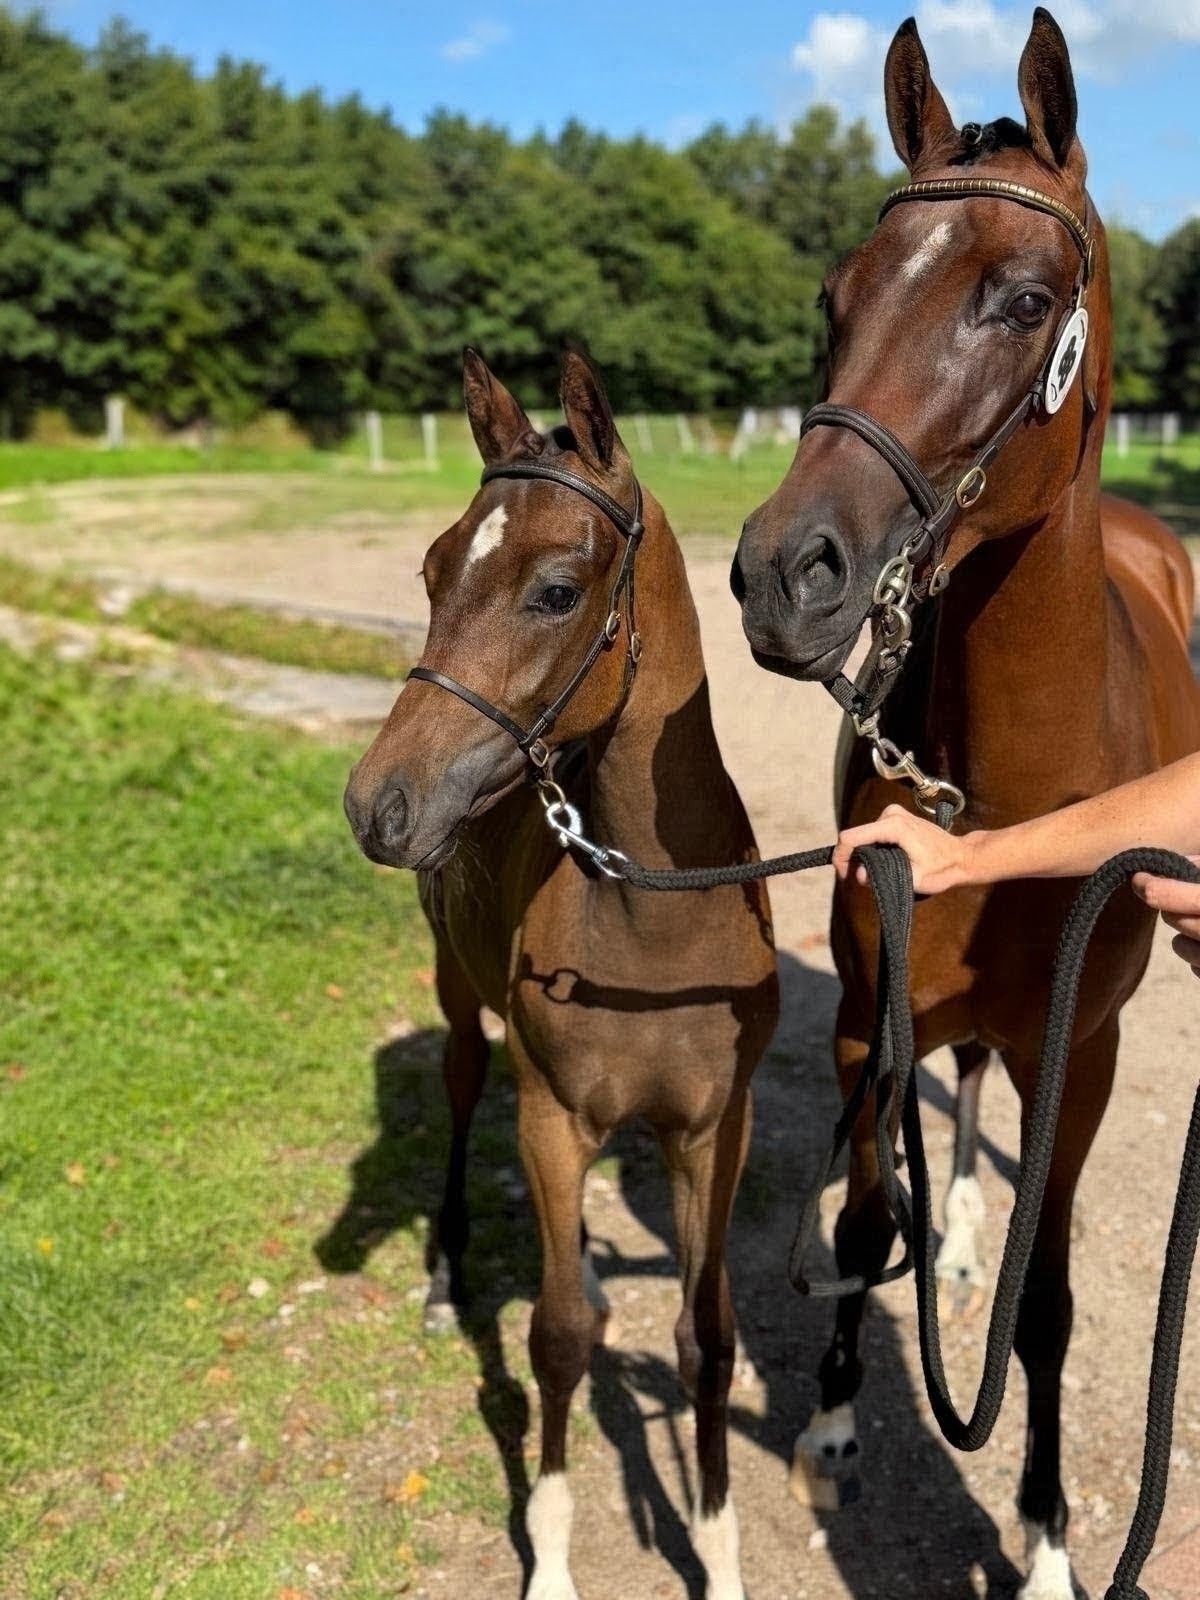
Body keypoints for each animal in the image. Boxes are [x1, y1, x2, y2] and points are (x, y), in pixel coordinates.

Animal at [343, 346, 779, 1600]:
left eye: (554, 590)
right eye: (434, 569)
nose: (378, 804)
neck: (653, 926)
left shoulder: (711, 1130)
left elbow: (705, 1337)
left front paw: (718, 1550)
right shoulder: (548, 1116)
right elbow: (555, 1339)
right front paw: (547, 1556)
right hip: (457, 1000)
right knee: (456, 1090)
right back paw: (445, 1274)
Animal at [730, 11, 1200, 1597]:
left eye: (1025, 296)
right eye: (836, 295)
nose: (782, 573)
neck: (1010, 791)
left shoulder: (1087, 1053)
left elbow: (1046, 1309)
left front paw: (1049, 1536)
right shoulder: (875, 1013)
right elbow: (868, 1205)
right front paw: (828, 1424)